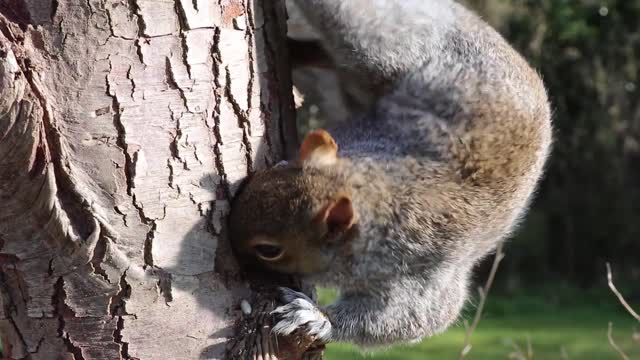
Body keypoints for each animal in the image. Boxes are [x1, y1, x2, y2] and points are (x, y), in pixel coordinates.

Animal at [228, 0, 552, 348]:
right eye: (275, 168)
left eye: (269, 250)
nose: (227, 243)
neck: (375, 190)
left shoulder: (420, 272)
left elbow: (413, 317)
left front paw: (316, 317)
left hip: (390, 47)